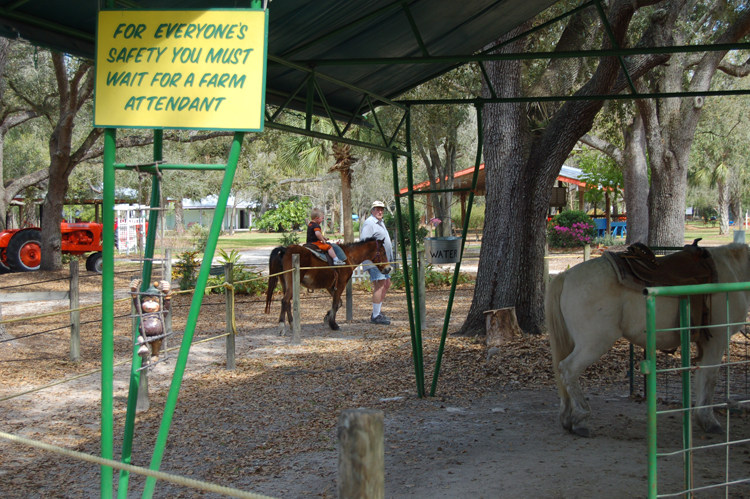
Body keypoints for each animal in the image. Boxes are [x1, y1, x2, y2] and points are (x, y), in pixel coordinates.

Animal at [266, 238, 394, 336]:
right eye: (383, 252)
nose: (388, 268)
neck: (349, 256)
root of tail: (285, 249)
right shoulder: (341, 284)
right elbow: (336, 303)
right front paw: (333, 324)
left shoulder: (331, 287)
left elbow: (339, 303)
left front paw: (328, 317)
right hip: (292, 284)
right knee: (284, 301)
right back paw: (282, 327)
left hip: (285, 284)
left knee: (287, 302)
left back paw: (293, 325)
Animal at [548, 243, 750, 438]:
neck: (734, 269)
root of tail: (566, 275)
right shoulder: (717, 340)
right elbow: (710, 378)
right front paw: (709, 422)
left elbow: (701, 377)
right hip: (594, 344)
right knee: (568, 370)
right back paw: (581, 420)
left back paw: (567, 418)